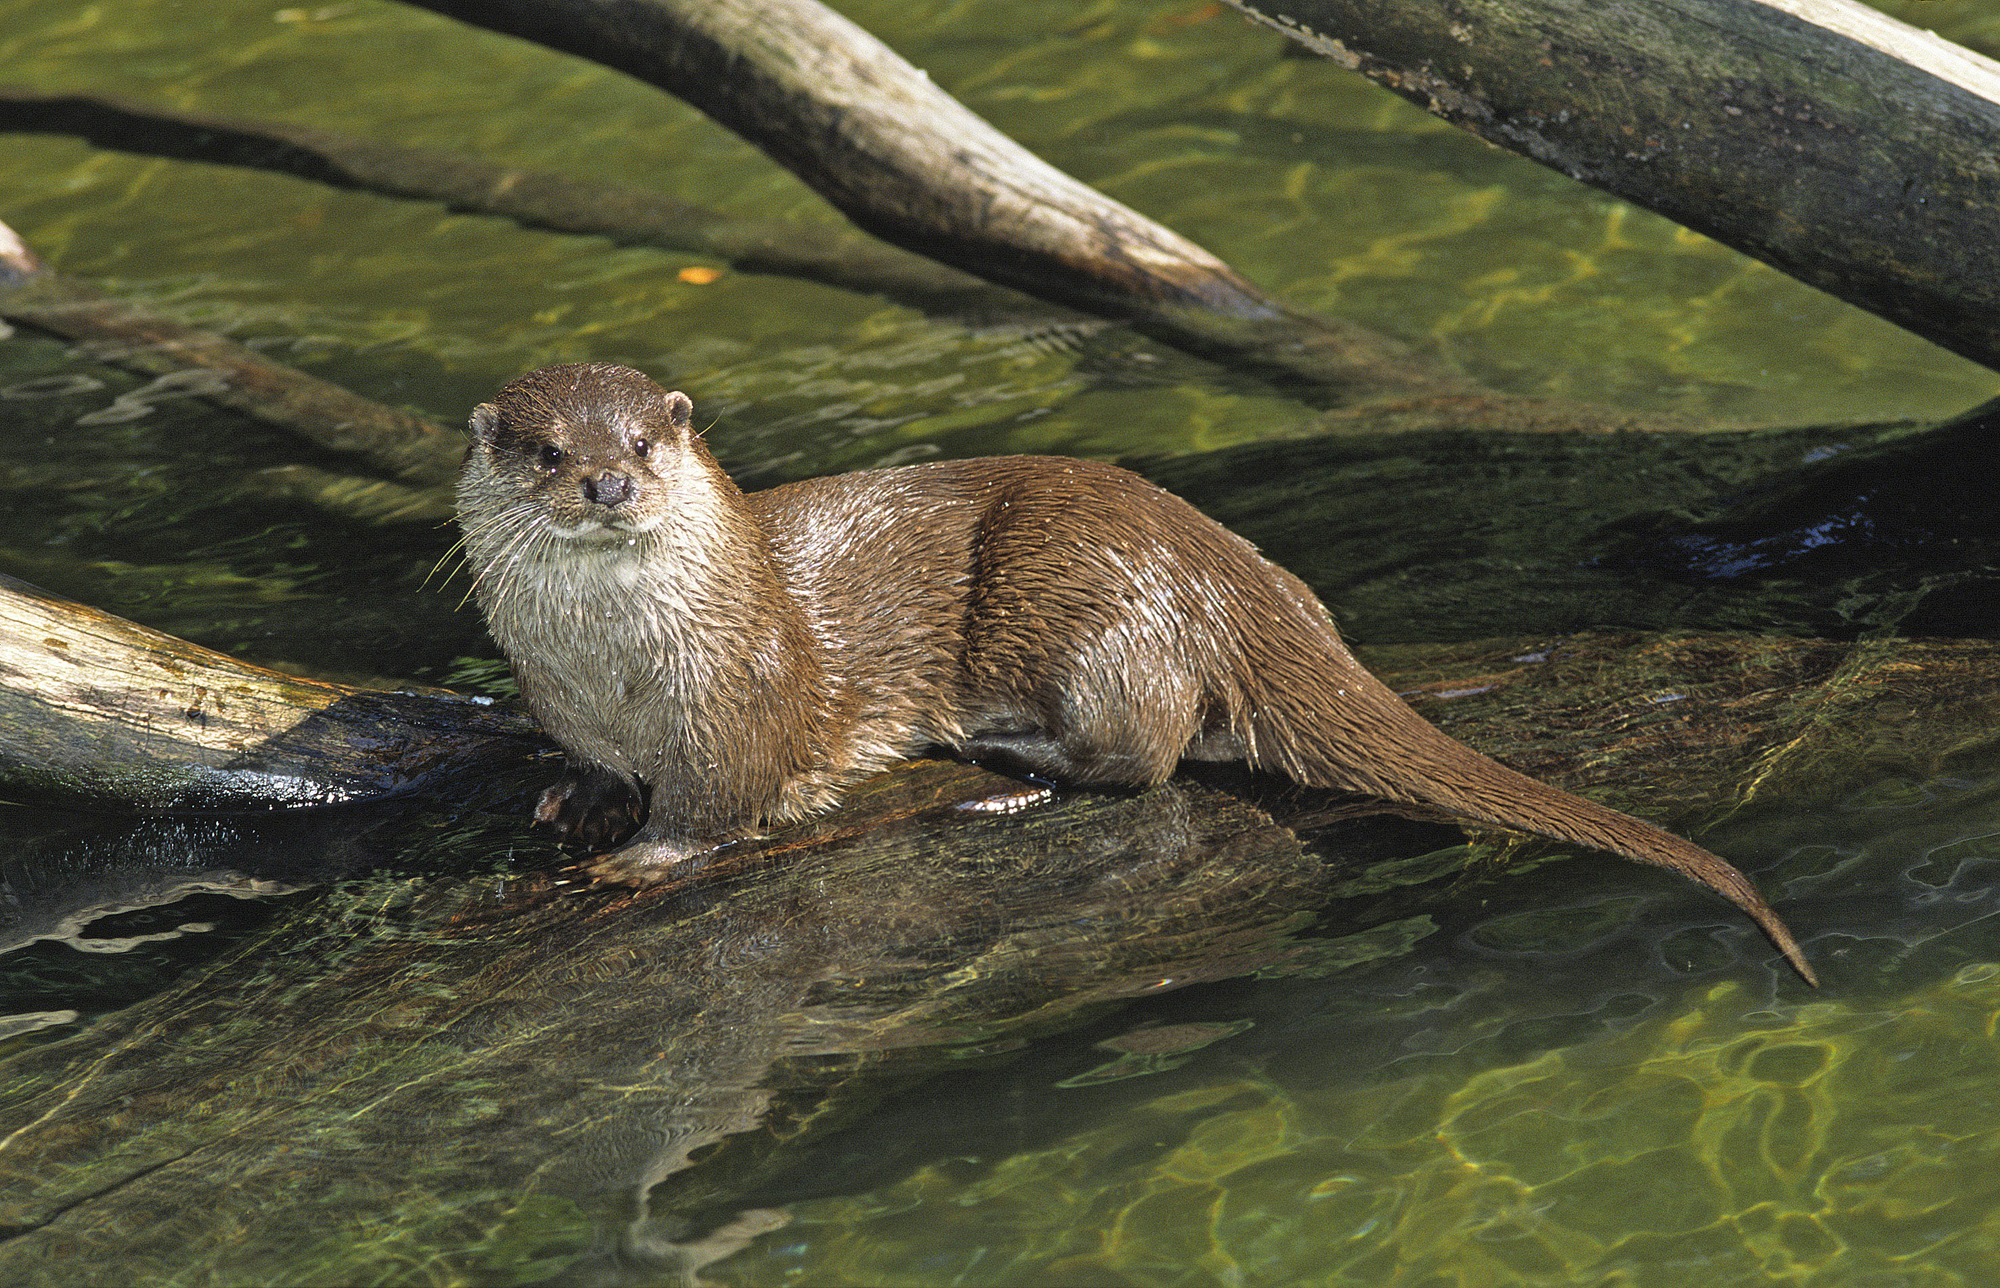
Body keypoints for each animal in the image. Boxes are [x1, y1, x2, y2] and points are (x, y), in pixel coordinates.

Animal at [460, 362, 1824, 988]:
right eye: (545, 450)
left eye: (646, 441)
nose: (609, 483)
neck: (611, 671)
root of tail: (1227, 579)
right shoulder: (559, 699)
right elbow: (585, 766)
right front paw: (576, 800)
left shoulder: (733, 695)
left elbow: (716, 804)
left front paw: (639, 858)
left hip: (1080, 593)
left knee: (1143, 751)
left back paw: (1006, 765)